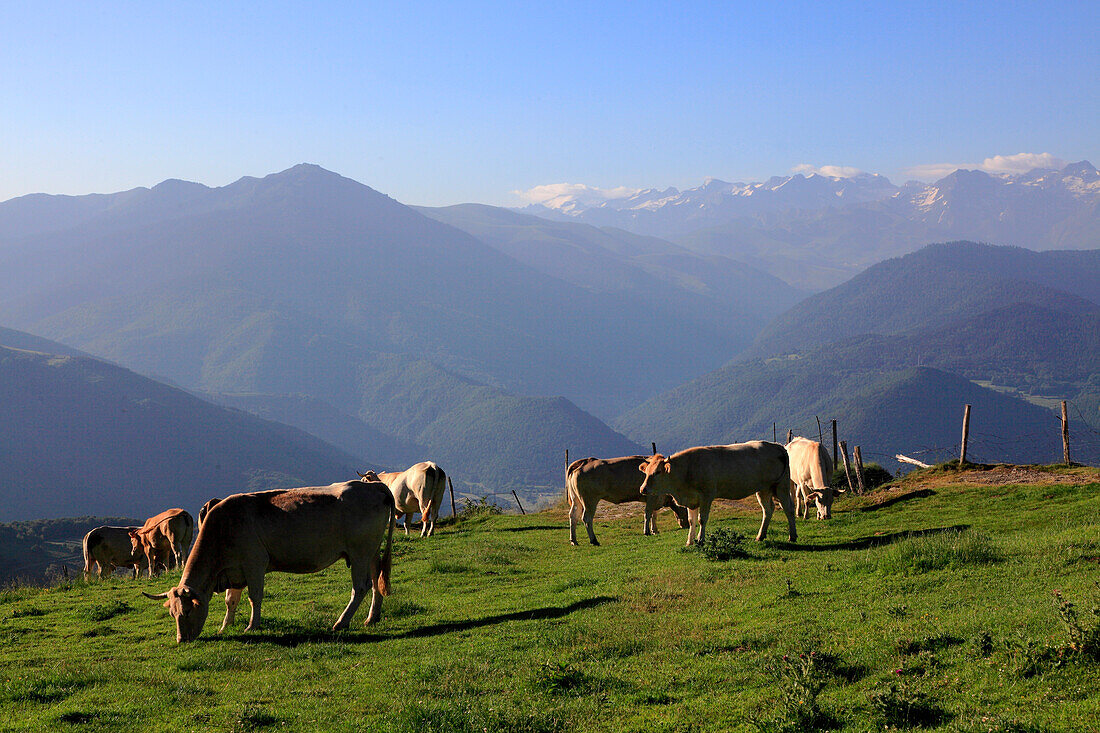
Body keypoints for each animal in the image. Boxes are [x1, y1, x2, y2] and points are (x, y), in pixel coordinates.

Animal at [144, 477, 396, 638]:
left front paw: (251, 626)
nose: (181, 639)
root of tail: (374, 486)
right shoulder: (234, 570)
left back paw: (341, 622)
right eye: (172, 613)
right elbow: (231, 600)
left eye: (187, 611)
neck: (224, 527)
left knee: (360, 587)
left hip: (359, 552)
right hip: (372, 551)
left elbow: (254, 597)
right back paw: (372, 617)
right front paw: (225, 627)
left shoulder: (254, 563)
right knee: (376, 580)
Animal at [638, 440, 800, 541]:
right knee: (768, 509)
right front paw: (689, 541)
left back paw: (792, 536)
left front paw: (700, 539)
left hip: (782, 485)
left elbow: (702, 519)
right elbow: (691, 521)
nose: (643, 489)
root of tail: (777, 446)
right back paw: (760, 536)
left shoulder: (707, 495)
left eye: (658, 472)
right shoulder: (692, 499)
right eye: (646, 472)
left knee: (789, 508)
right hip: (763, 489)